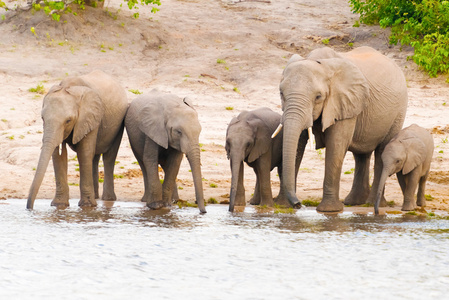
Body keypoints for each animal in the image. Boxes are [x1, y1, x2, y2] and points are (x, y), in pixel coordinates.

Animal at [26, 70, 128, 209]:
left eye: (68, 120)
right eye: (42, 118)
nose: (29, 208)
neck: (68, 87)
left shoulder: (90, 116)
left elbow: (83, 153)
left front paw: (87, 206)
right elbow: (59, 155)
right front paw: (59, 205)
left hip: (118, 124)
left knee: (109, 157)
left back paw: (107, 199)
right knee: (94, 158)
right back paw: (96, 196)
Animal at [274, 45, 408, 212]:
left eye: (318, 97)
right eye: (281, 93)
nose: (298, 204)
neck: (320, 63)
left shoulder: (344, 103)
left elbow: (336, 146)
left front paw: (329, 210)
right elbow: (298, 144)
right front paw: (282, 206)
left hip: (398, 112)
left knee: (382, 150)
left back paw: (371, 204)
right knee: (361, 156)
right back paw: (355, 202)